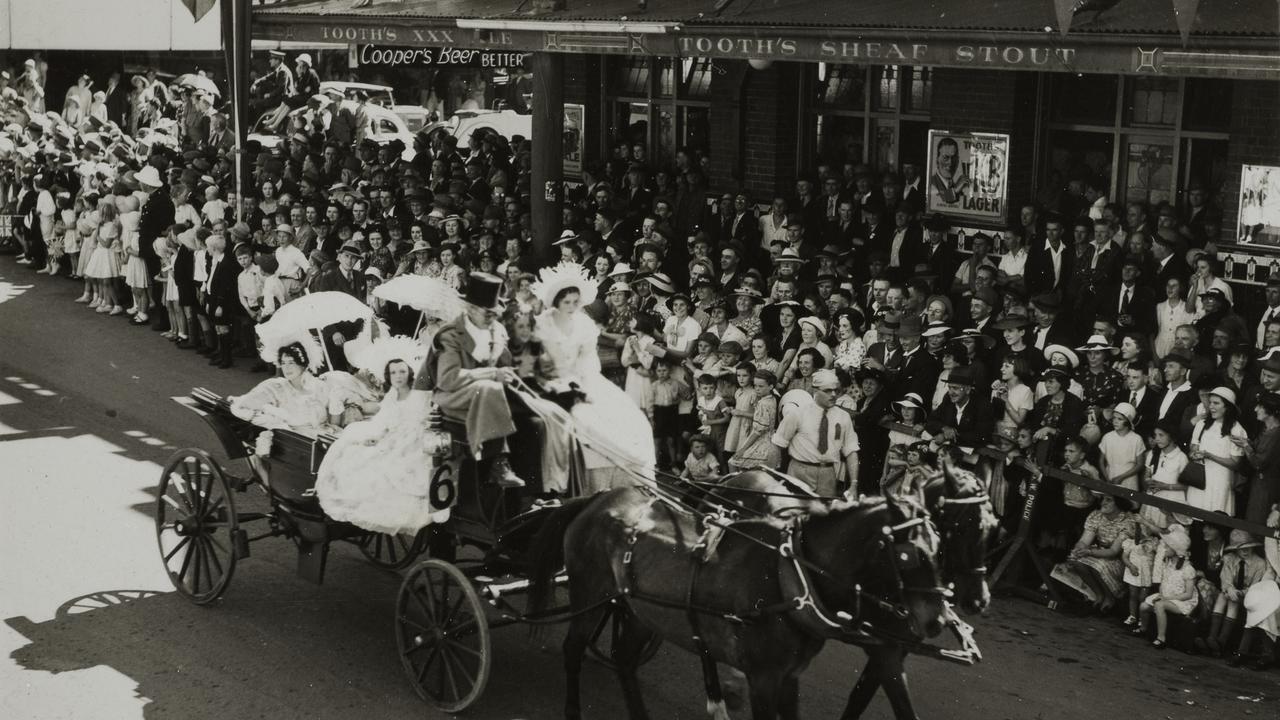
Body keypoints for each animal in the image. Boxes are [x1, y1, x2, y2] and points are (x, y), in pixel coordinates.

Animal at [524, 476, 947, 717]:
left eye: (939, 544)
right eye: (908, 555)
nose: (937, 620)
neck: (790, 578)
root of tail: (596, 499)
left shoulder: (790, 677)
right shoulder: (763, 679)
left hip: (643, 612)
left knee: (624, 660)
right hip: (589, 594)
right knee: (573, 647)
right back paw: (572, 709)